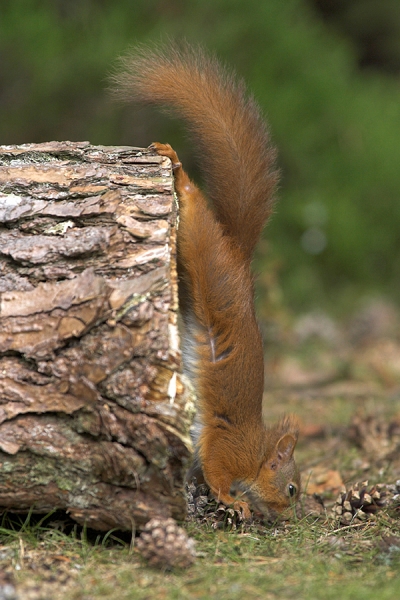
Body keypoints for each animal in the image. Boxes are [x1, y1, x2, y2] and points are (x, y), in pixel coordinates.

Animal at [112, 43, 300, 520]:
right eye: (292, 489)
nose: (292, 516)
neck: (256, 451)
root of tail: (237, 255)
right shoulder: (225, 448)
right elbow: (216, 474)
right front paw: (235, 501)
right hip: (204, 249)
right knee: (194, 200)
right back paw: (176, 168)